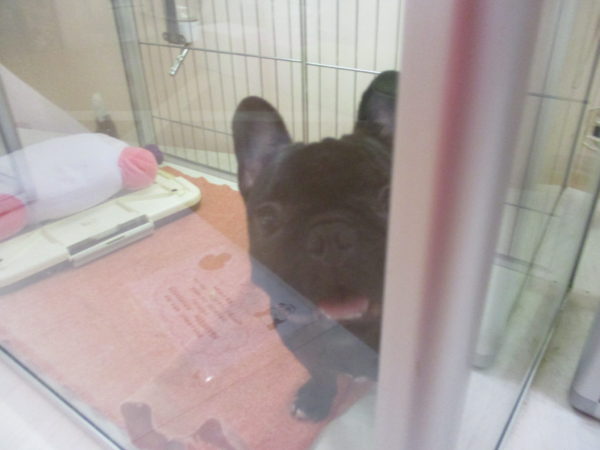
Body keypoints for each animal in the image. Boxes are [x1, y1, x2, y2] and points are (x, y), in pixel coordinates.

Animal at [232, 71, 397, 421]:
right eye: (268, 218)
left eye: (390, 199)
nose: (331, 237)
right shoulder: (297, 344)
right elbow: (321, 373)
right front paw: (316, 399)